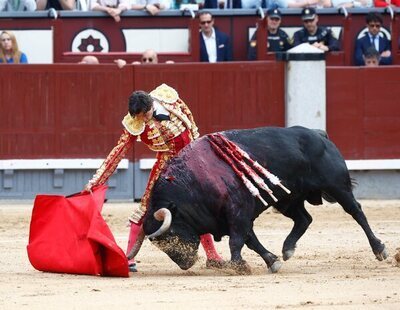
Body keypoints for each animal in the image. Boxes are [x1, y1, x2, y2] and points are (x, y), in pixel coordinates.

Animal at [130, 126, 388, 274]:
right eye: (158, 243)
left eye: (171, 234)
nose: (185, 263)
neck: (193, 183)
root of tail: (319, 134)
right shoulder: (233, 217)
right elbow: (250, 240)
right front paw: (272, 261)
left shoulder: (238, 212)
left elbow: (237, 241)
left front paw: (238, 266)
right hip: (287, 198)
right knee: (304, 219)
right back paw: (287, 249)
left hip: (336, 185)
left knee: (356, 212)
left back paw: (380, 249)